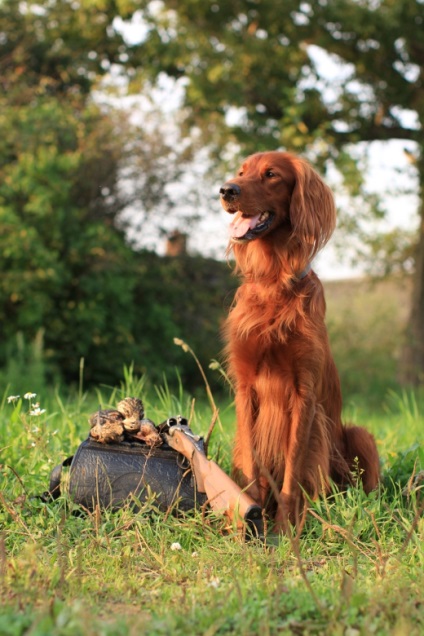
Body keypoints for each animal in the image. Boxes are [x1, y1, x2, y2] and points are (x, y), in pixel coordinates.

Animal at [220, 153, 380, 532]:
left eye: (271, 174)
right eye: (240, 172)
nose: (226, 190)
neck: (273, 282)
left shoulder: (303, 394)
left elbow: (293, 471)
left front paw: (283, 529)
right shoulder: (246, 388)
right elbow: (252, 465)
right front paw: (249, 523)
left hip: (359, 436)